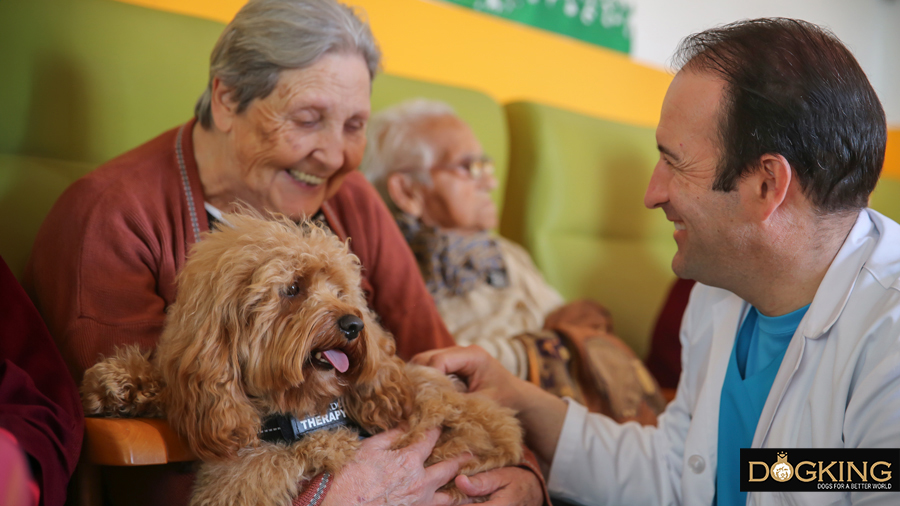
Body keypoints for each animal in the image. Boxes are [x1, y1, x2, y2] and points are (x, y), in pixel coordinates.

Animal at [83, 212, 524, 506]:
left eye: (341, 291)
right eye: (293, 289)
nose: (353, 325)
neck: (288, 410)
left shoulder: (326, 446)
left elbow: (251, 475)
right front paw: (119, 383)